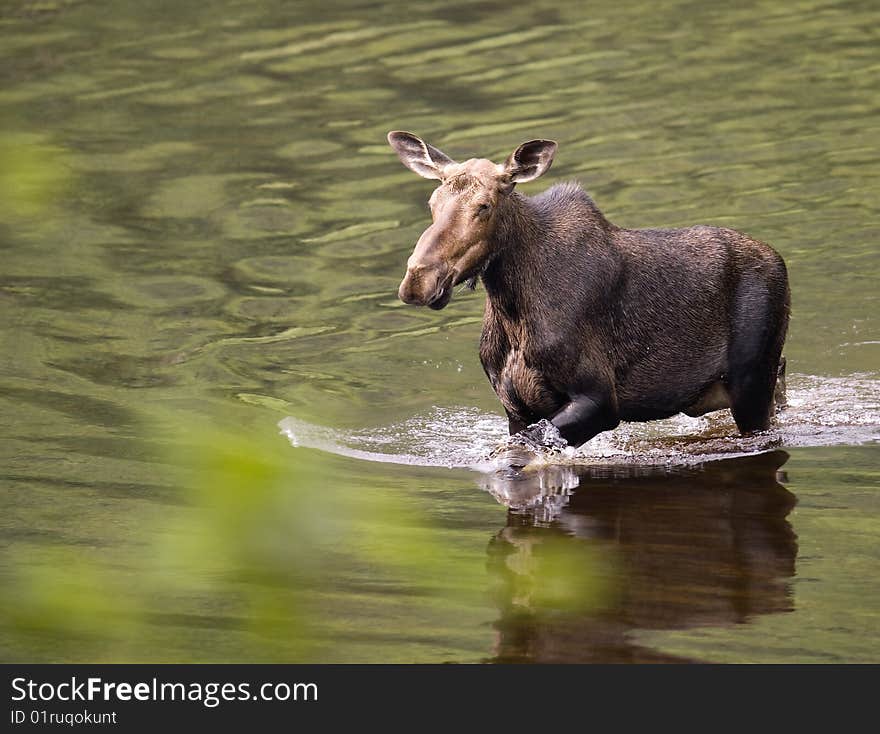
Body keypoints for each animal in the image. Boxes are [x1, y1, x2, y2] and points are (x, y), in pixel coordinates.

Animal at [388, 134, 788, 454]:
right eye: (432, 203)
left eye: (484, 205)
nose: (418, 280)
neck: (512, 310)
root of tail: (778, 258)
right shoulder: (515, 408)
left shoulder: (599, 399)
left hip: (752, 380)